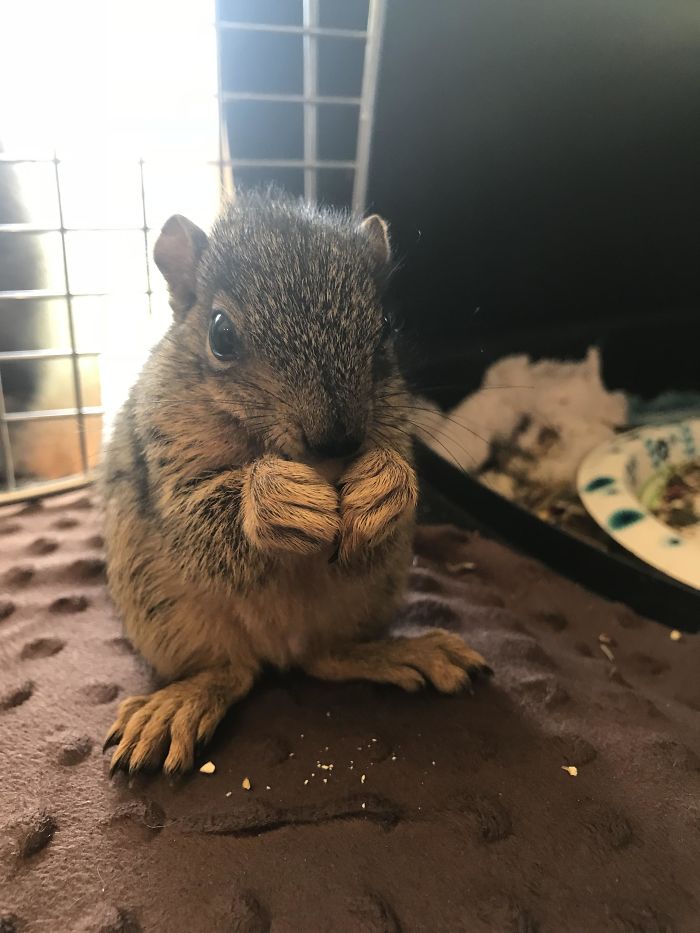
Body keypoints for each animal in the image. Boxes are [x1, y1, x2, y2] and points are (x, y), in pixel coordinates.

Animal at [102, 193, 491, 774]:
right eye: (220, 334)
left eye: (385, 326)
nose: (337, 441)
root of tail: (280, 647)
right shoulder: (165, 455)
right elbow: (197, 521)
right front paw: (275, 501)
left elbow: (397, 483)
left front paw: (384, 488)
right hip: (167, 615)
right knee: (230, 671)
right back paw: (179, 703)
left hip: (367, 597)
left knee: (323, 658)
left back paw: (402, 650)